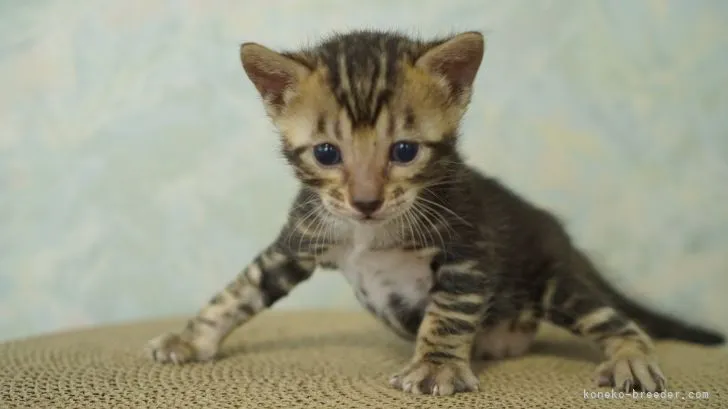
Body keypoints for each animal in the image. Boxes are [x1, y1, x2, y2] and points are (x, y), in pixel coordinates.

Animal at [145, 29, 724, 396]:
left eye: (404, 151)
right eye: (327, 153)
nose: (366, 201)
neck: (368, 233)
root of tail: (559, 232)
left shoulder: (468, 248)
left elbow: (449, 312)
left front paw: (436, 367)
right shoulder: (296, 243)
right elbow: (237, 291)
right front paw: (190, 338)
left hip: (554, 282)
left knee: (618, 321)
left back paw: (631, 359)